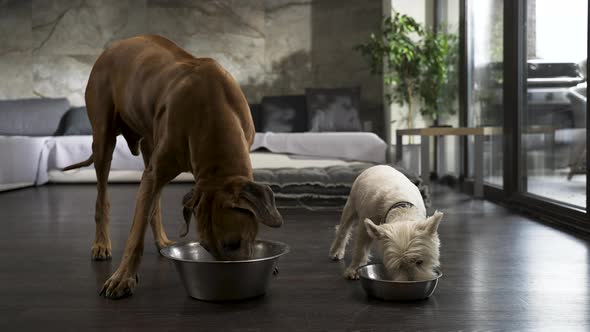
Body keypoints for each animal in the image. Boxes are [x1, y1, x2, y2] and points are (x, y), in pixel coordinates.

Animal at [66, 35, 284, 300]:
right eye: (205, 246)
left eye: (234, 244)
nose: (226, 282)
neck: (212, 106)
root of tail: (112, 48)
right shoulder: (156, 171)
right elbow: (135, 236)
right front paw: (122, 277)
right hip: (103, 140)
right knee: (103, 197)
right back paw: (101, 244)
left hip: (149, 142)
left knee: (152, 203)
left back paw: (162, 241)